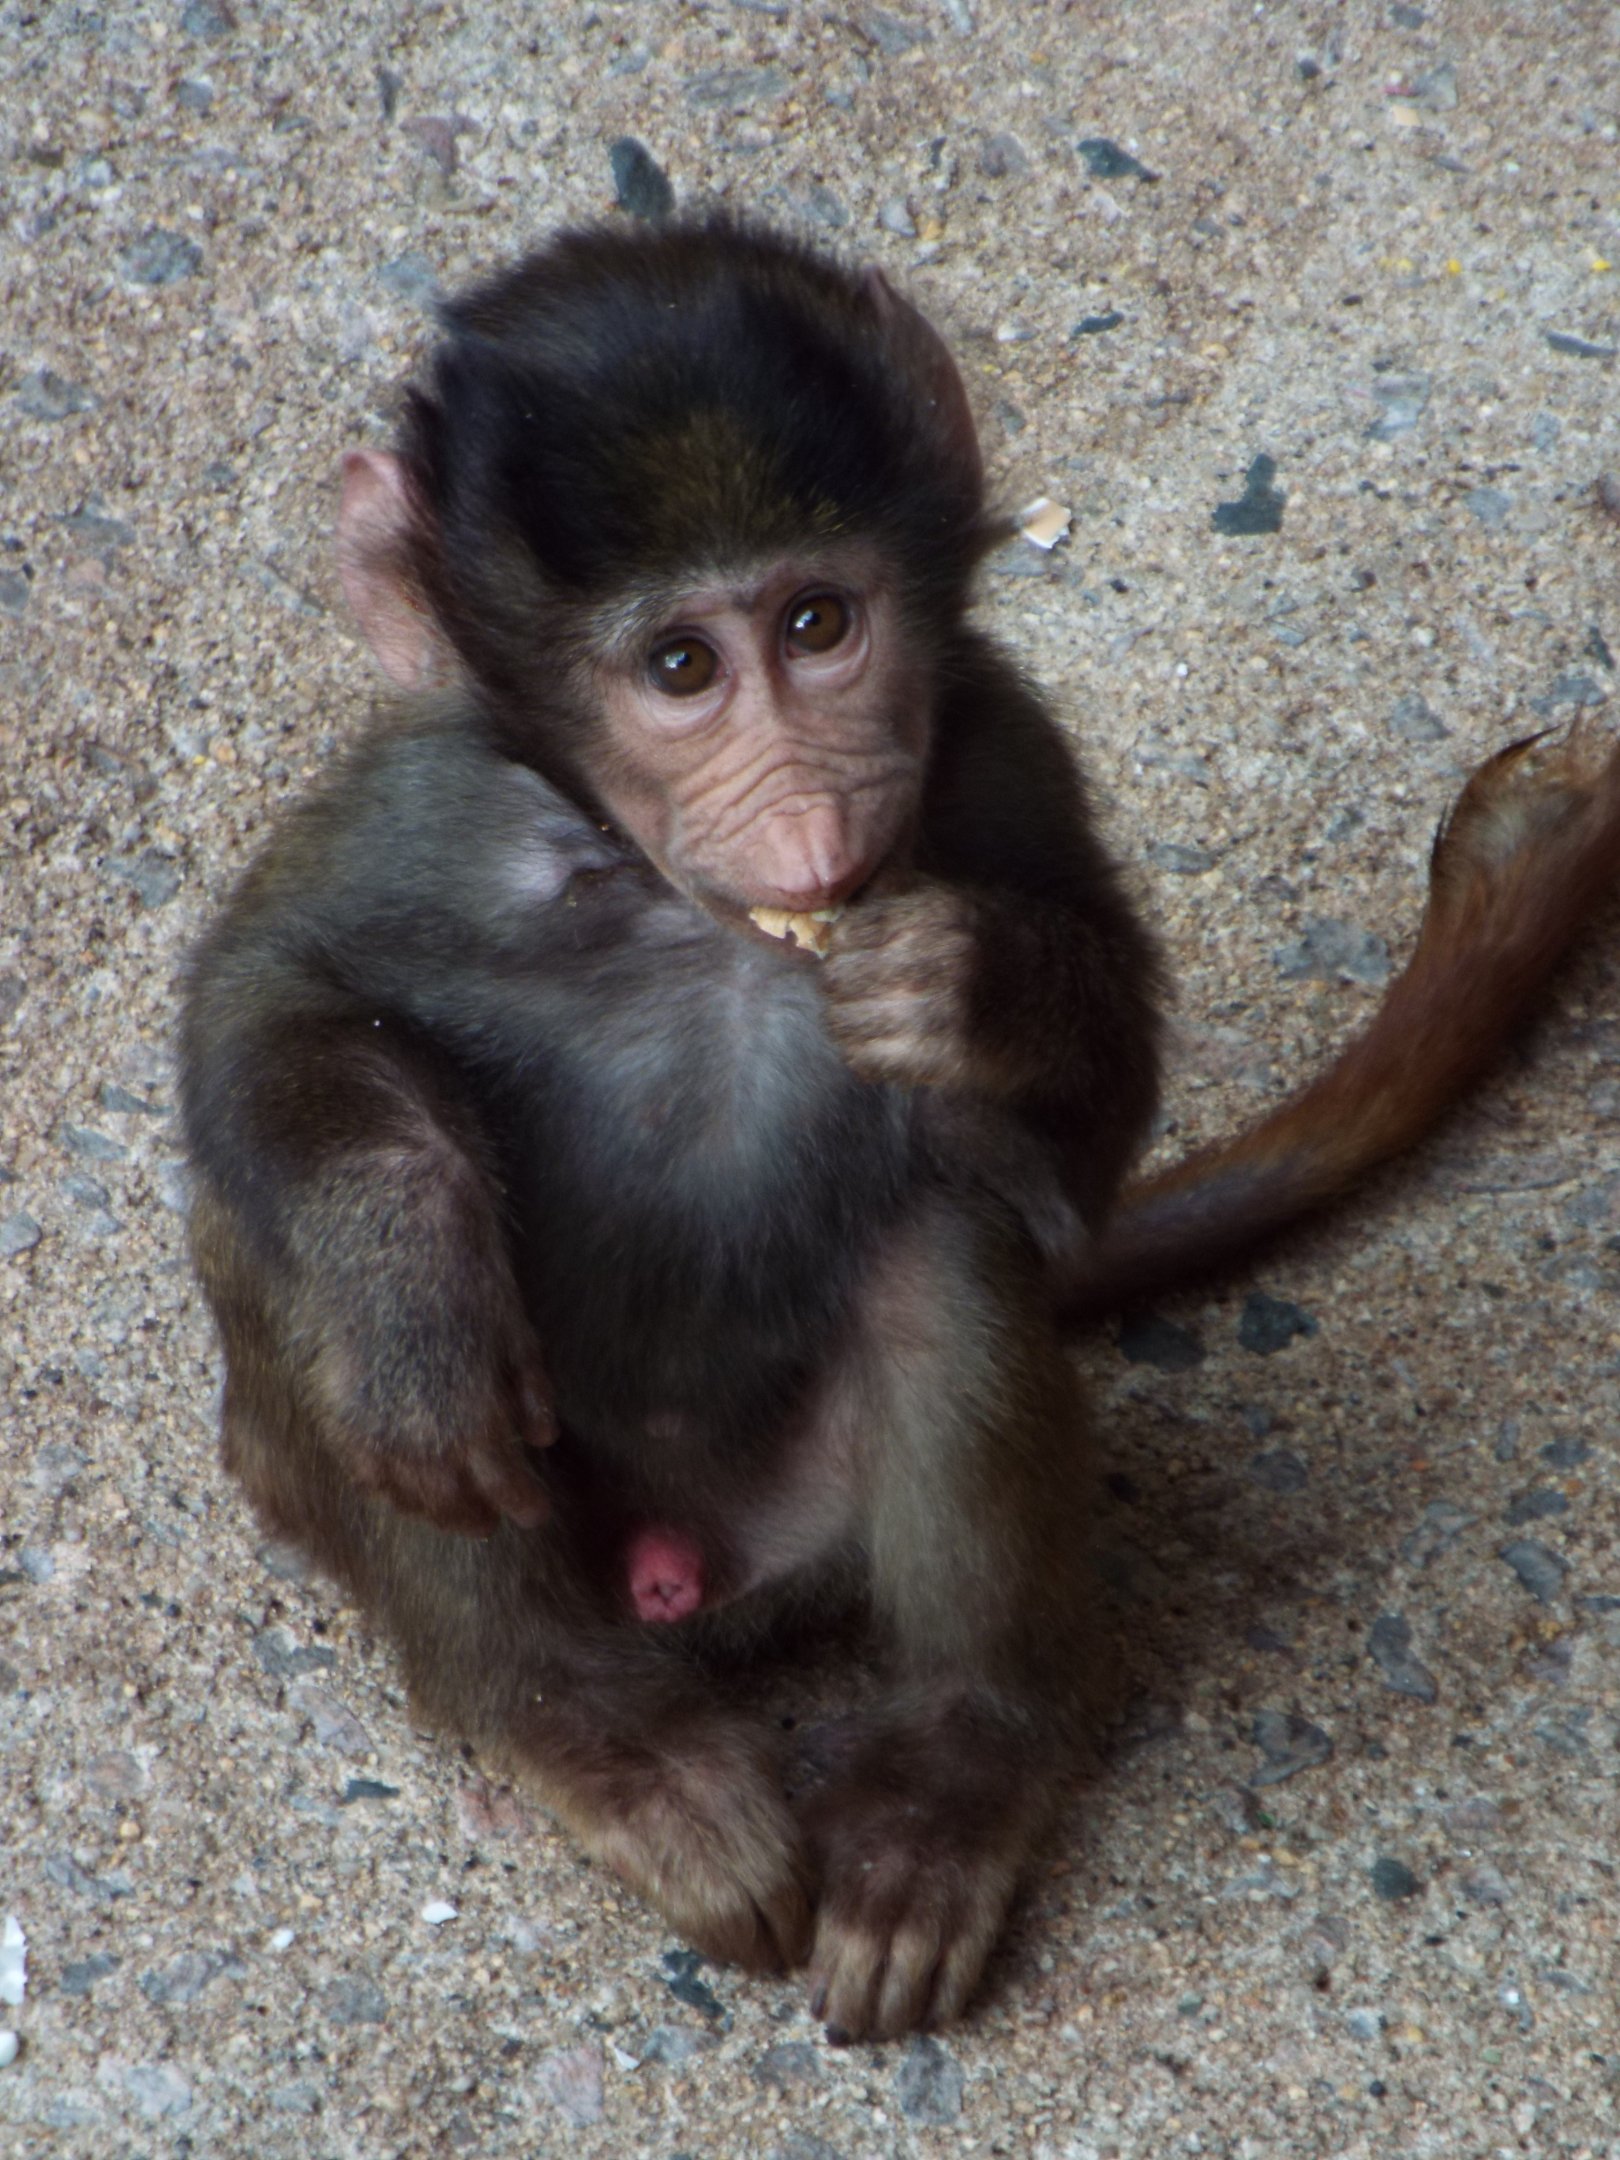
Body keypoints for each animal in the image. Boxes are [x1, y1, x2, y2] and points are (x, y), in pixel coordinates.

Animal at [179, 213, 1620, 2043]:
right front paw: (406, 1264)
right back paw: (598, 1730)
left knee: (949, 1246)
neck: (696, 911)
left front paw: (976, 988)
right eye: (679, 669)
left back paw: (959, 1769)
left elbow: (1066, 1168)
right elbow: (265, 1009)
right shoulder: (433, 809)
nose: (809, 816)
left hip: (820, 1527)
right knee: (280, 1261)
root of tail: (697, 1582)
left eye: (818, 623)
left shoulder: (1001, 742)